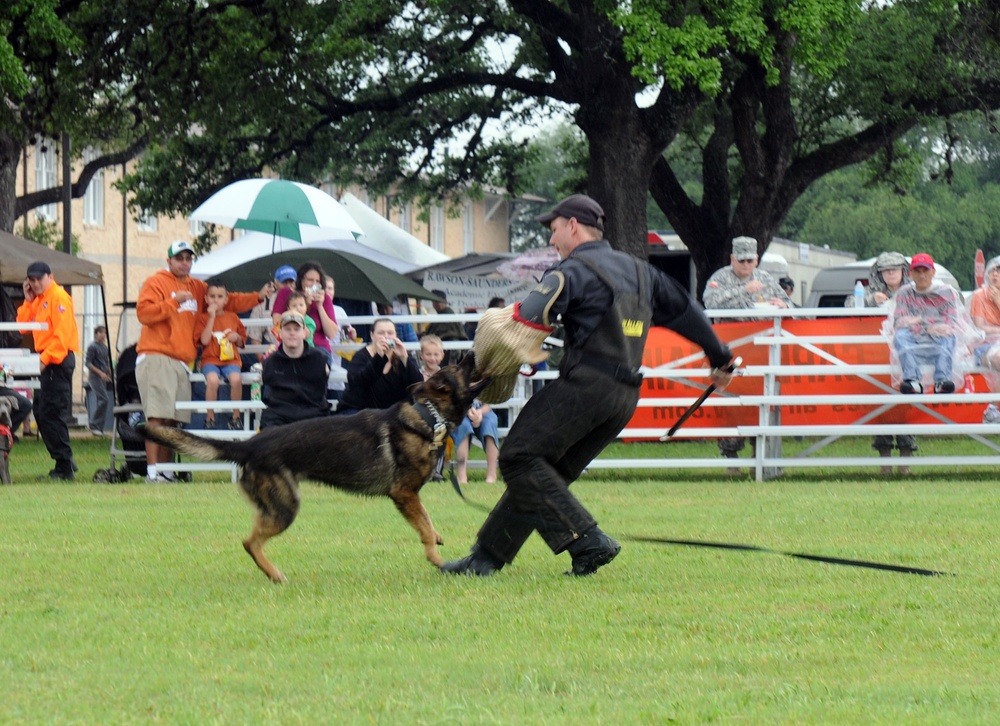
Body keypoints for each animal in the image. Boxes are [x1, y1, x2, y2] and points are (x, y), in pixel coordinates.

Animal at [139, 352, 490, 584]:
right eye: (459, 367)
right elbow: (423, 527)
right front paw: (435, 557)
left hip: (276, 506)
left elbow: (427, 519)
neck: (430, 415)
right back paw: (275, 574)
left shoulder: (412, 496)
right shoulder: (404, 493)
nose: (472, 352)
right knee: (250, 542)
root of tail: (249, 445)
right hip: (286, 507)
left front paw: (437, 537)